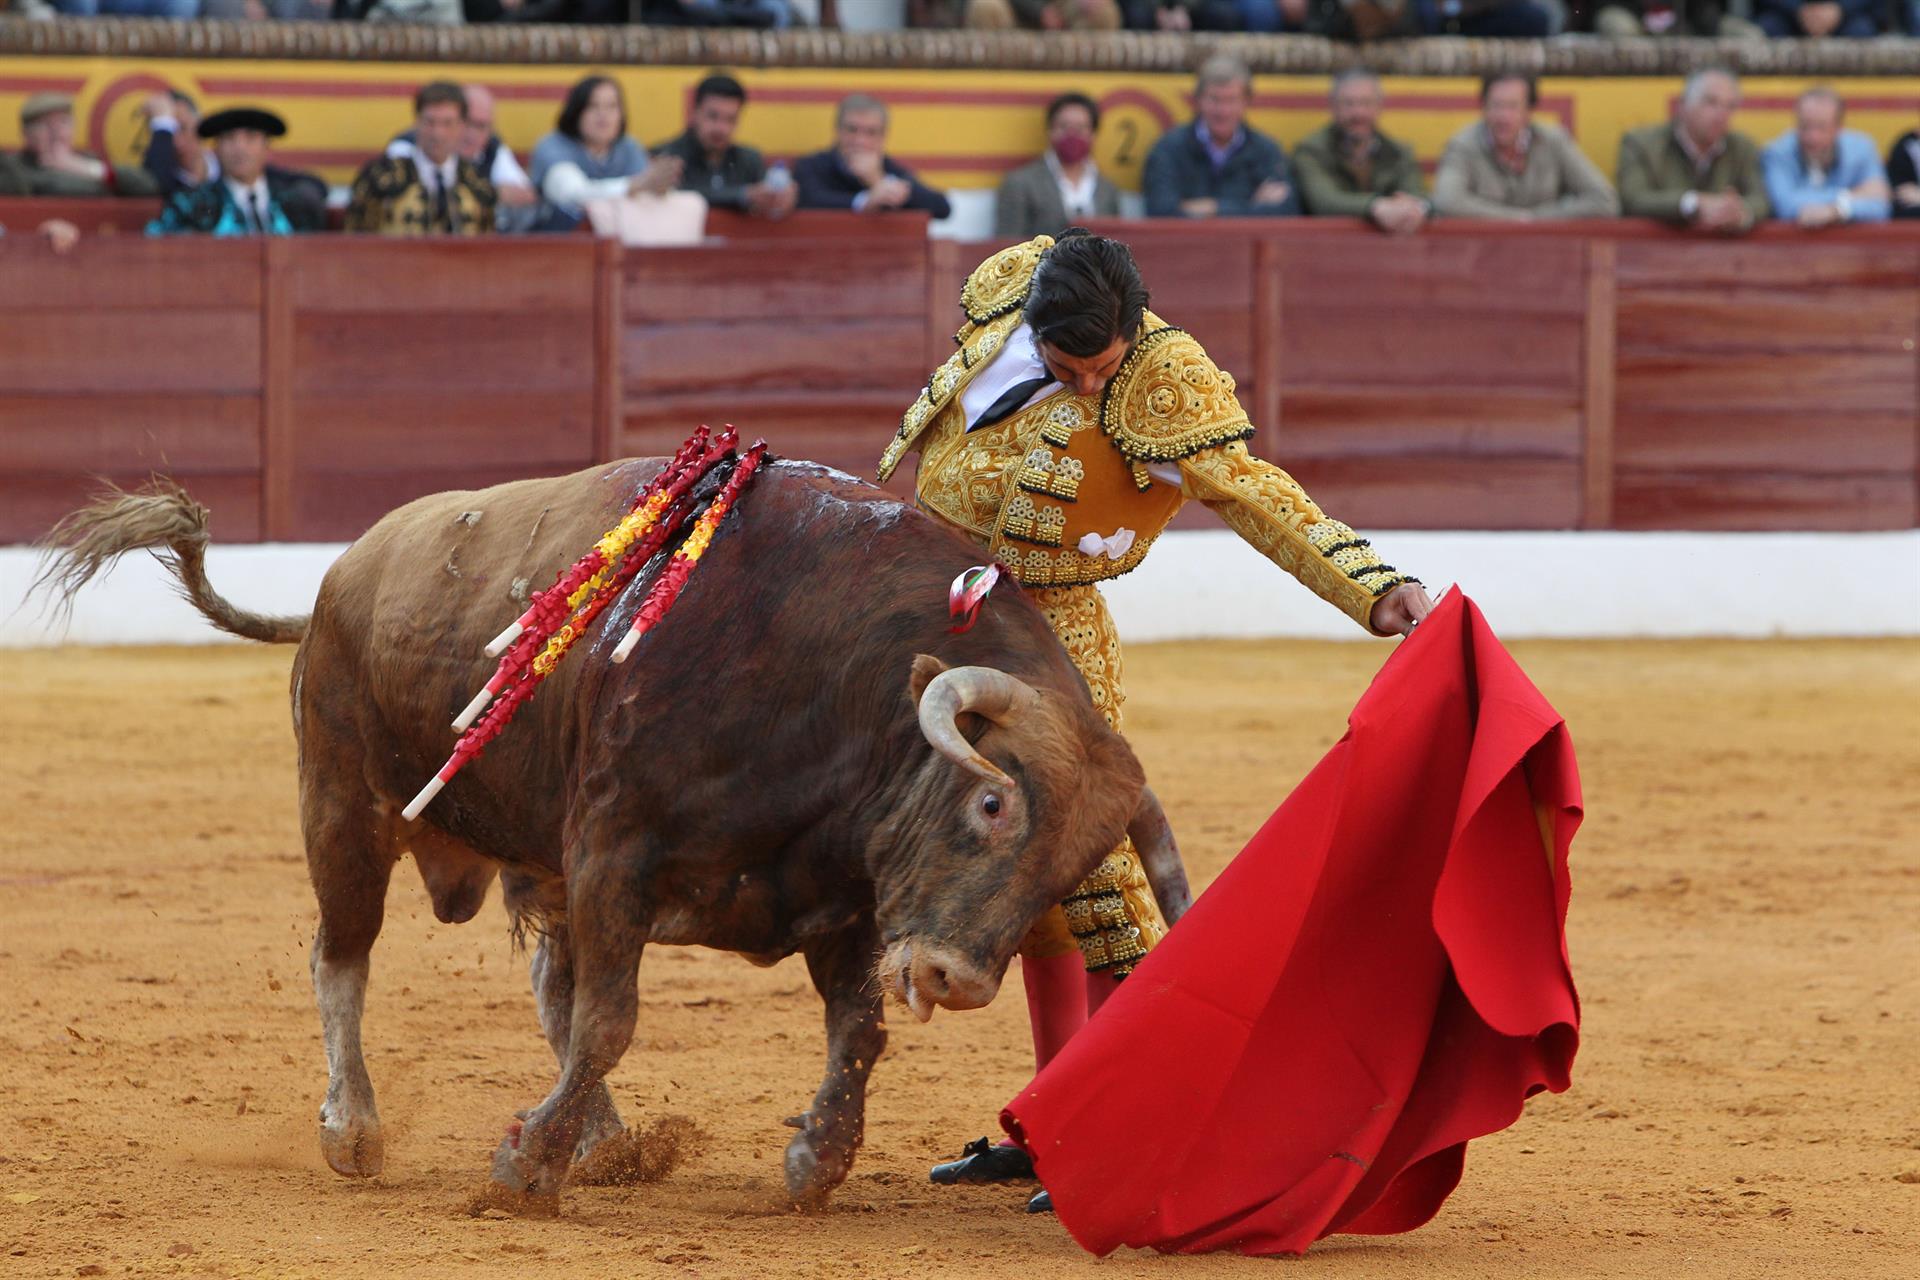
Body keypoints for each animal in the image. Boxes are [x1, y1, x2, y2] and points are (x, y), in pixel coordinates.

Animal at [41, 458, 1182, 1212]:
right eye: (992, 804)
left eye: (1078, 862)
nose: (957, 976)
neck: (829, 681)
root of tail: (336, 579)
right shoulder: (611, 854)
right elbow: (609, 1022)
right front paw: (522, 1171)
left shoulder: (842, 894)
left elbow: (855, 1032)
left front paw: (815, 1160)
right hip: (344, 807)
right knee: (344, 958)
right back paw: (354, 1130)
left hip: (527, 860)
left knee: (544, 983)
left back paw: (610, 1142)